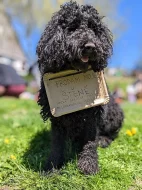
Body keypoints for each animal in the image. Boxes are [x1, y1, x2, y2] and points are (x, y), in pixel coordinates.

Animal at [36, 0, 124, 174]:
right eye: (72, 28)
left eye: (93, 28)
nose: (90, 46)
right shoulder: (57, 116)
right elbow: (57, 144)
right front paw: (52, 167)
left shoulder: (92, 114)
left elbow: (89, 142)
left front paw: (88, 164)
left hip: (115, 114)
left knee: (111, 134)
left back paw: (103, 140)